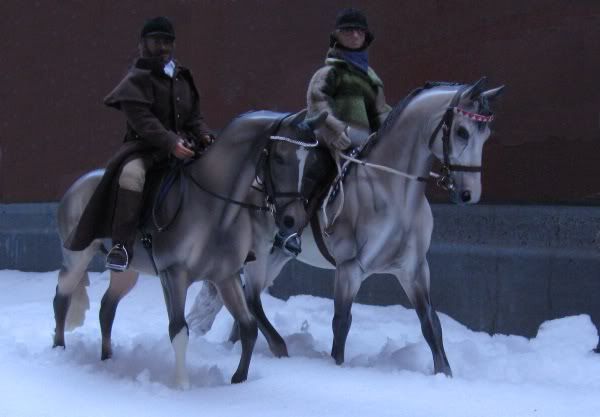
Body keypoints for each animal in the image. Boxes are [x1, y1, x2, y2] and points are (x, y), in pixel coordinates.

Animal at [51, 108, 324, 386]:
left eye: (310, 161)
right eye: (279, 157)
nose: (293, 220)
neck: (215, 209)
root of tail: (77, 186)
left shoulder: (226, 277)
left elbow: (248, 327)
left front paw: (238, 380)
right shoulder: (174, 275)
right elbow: (179, 330)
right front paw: (182, 385)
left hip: (127, 271)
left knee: (107, 307)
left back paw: (107, 358)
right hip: (76, 257)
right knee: (62, 296)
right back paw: (59, 350)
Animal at [190, 77, 504, 374]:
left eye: (486, 134)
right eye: (462, 131)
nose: (469, 194)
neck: (392, 192)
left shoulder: (414, 269)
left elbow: (431, 324)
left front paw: (445, 374)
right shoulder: (350, 269)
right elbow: (341, 323)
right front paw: (337, 367)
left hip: (277, 256)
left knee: (246, 299)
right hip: (262, 253)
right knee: (252, 298)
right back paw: (277, 347)